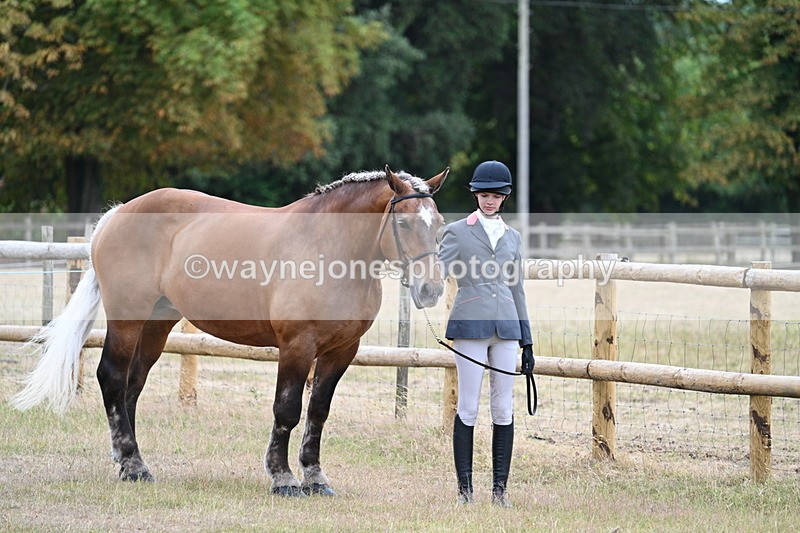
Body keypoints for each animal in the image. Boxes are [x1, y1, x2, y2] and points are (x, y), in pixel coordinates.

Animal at [13, 166, 449, 496]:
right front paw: (283, 478)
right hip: (127, 318)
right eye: (404, 221)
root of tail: (117, 214)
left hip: (157, 324)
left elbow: (318, 412)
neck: (331, 247)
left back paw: (128, 462)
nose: (430, 289)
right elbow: (287, 410)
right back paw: (134, 465)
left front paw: (315, 478)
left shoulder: (342, 351)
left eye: (440, 223)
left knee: (131, 386)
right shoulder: (297, 346)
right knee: (112, 378)